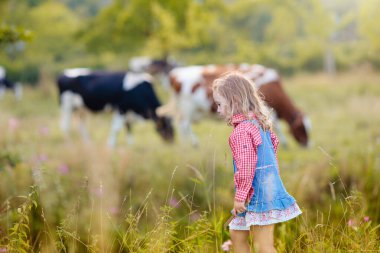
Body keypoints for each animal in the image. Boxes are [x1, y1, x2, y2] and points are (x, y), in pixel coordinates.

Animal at [159, 64, 310, 147]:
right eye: (301, 128)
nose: (308, 145)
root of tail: (176, 73)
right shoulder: (267, 106)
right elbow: (276, 124)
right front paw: (285, 144)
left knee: (182, 126)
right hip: (187, 108)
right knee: (184, 125)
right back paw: (193, 145)